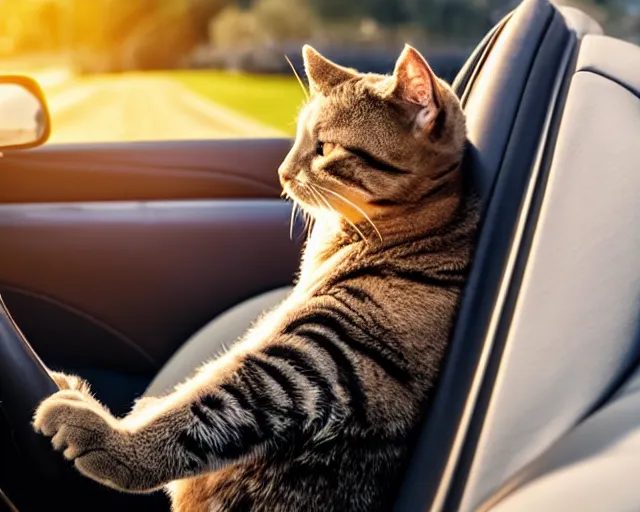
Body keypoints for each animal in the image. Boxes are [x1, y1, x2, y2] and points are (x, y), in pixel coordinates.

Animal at [33, 45, 476, 512]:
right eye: (299, 139)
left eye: (325, 148)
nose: (282, 172)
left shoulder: (317, 360)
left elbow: (210, 406)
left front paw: (113, 438)